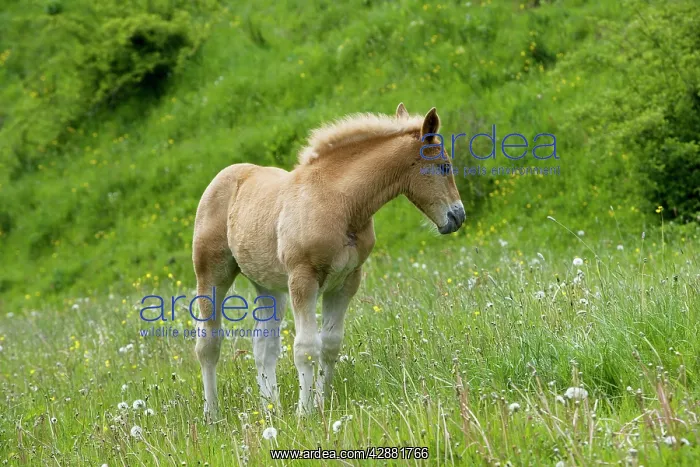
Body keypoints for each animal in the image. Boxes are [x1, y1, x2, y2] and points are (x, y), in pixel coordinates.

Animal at [192, 103, 465, 420]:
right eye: (444, 166)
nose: (458, 216)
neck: (340, 202)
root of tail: (225, 175)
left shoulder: (346, 281)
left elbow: (330, 345)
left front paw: (321, 405)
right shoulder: (303, 279)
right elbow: (306, 348)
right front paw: (304, 413)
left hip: (268, 287)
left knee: (264, 345)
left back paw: (272, 410)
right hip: (212, 274)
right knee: (209, 343)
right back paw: (212, 414)